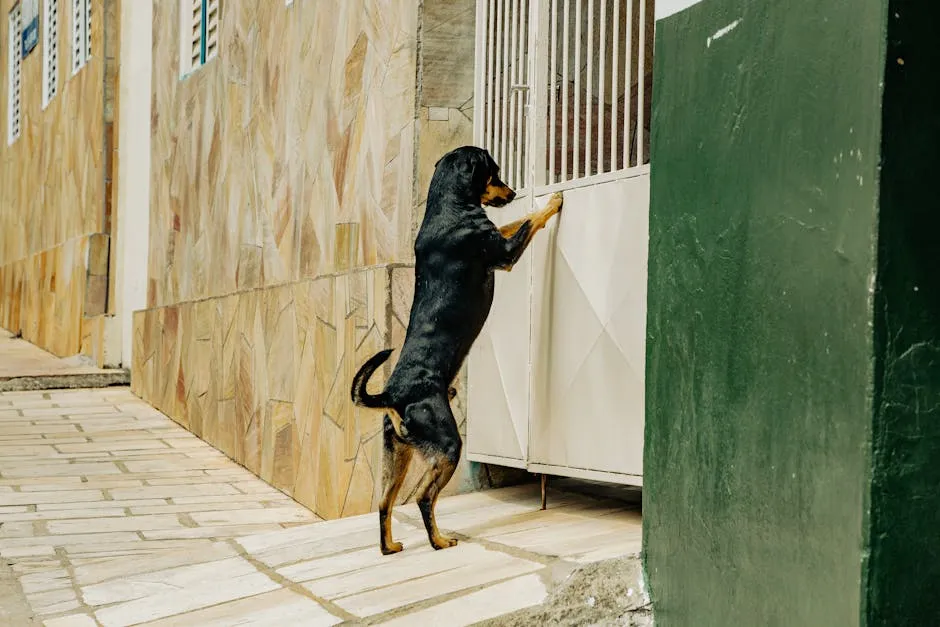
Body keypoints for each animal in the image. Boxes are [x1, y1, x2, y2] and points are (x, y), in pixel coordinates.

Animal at [348, 144, 560, 556]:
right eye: (494, 172)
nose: (512, 192)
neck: (449, 205)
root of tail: (393, 395)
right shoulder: (505, 254)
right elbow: (530, 219)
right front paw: (553, 200)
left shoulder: (499, 241)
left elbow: (515, 222)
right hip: (447, 446)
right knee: (423, 498)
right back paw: (439, 541)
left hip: (397, 452)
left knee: (384, 501)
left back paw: (390, 546)